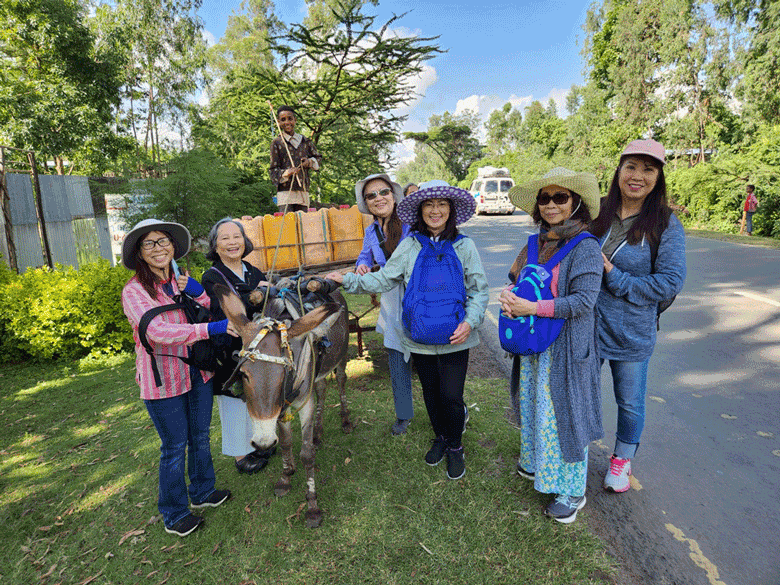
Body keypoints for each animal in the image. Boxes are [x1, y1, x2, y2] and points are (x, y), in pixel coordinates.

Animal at [212, 279, 352, 528]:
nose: (263, 443)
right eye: (244, 374)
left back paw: (345, 420)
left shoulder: (303, 404)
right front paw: (286, 477)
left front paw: (312, 506)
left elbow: (306, 454)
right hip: (318, 372)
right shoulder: (280, 408)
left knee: (341, 381)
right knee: (322, 389)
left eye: (283, 374)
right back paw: (318, 433)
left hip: (341, 357)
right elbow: (286, 443)